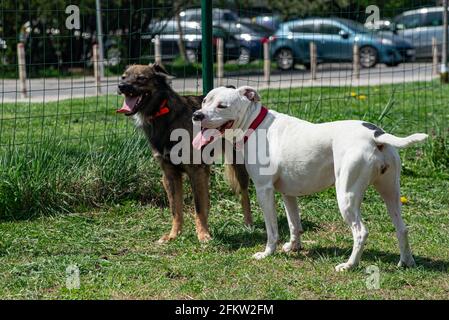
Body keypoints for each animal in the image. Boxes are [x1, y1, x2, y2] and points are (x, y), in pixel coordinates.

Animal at [117, 63, 250, 242]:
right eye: (124, 77)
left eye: (141, 78)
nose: (121, 86)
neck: (163, 115)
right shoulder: (170, 175)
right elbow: (176, 210)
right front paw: (174, 235)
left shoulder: (195, 171)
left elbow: (198, 208)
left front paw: (203, 235)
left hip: (239, 165)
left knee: (244, 194)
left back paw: (248, 223)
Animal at [192, 86, 428, 272]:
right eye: (204, 101)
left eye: (222, 106)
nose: (197, 115)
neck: (255, 124)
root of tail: (375, 135)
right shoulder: (288, 193)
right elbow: (294, 223)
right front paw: (293, 247)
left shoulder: (264, 190)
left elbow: (272, 229)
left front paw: (268, 253)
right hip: (391, 192)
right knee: (402, 228)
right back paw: (406, 262)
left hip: (346, 196)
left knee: (361, 232)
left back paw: (349, 265)